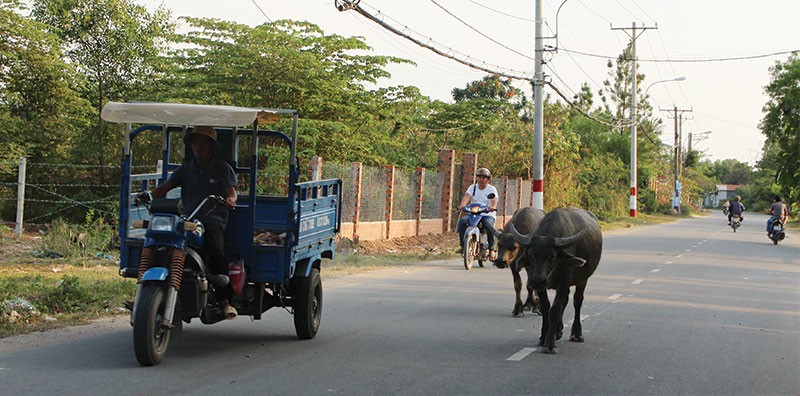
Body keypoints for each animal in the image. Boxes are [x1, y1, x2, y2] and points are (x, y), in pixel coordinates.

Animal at [510, 206, 604, 354]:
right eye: (531, 254)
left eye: (552, 256)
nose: (537, 281)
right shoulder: (541, 287)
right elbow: (545, 307)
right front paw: (544, 336)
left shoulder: (563, 284)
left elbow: (554, 310)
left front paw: (550, 345)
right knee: (565, 301)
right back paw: (558, 331)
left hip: (583, 280)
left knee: (577, 301)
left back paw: (576, 334)